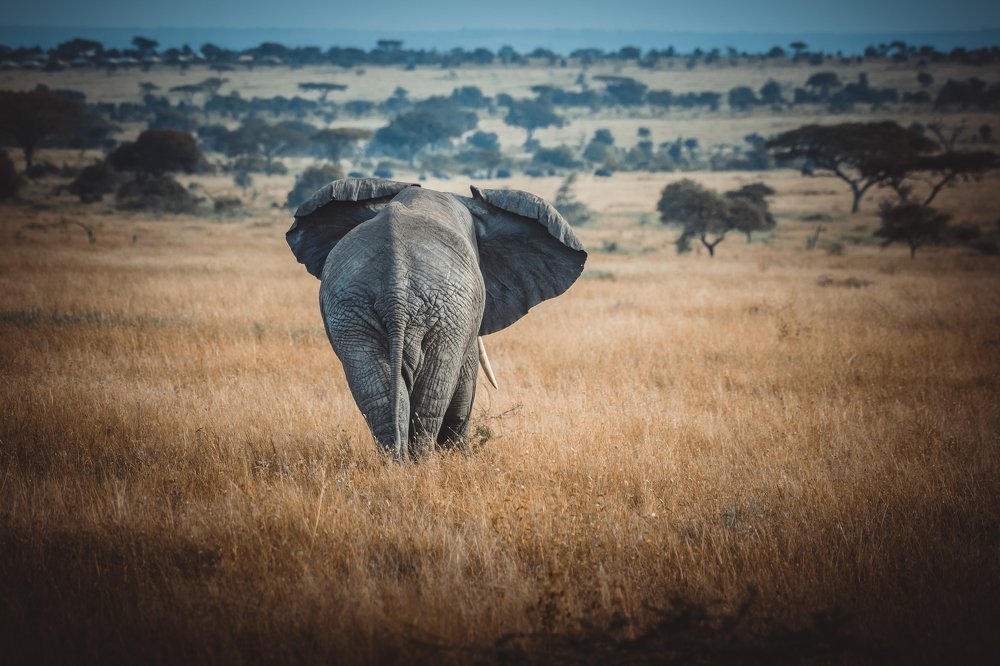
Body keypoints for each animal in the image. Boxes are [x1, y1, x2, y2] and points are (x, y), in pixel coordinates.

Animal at [286, 178, 587, 460]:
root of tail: (396, 282)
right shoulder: (464, 318)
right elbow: (466, 380)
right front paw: (459, 458)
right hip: (445, 313)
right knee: (431, 396)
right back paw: (424, 464)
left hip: (353, 310)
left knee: (377, 394)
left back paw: (397, 466)